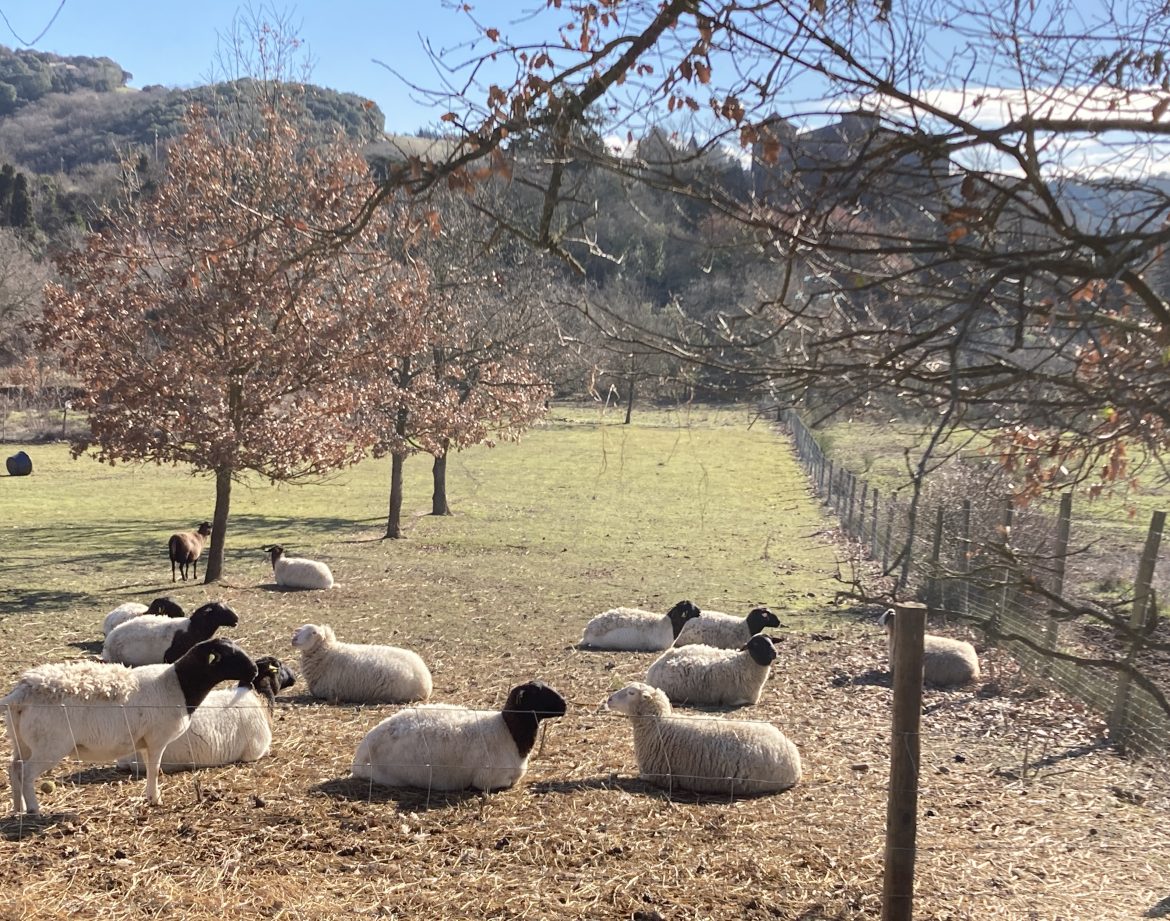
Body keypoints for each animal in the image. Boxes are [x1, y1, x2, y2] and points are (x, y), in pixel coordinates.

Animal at [3, 637, 257, 813]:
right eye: (229, 655)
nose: (254, 670)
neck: (178, 684)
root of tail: (21, 694)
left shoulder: (144, 742)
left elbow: (149, 769)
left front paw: (150, 797)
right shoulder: (157, 739)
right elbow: (155, 769)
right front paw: (156, 799)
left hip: (21, 741)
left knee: (14, 767)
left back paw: (18, 808)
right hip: (49, 745)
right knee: (26, 772)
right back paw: (33, 809)